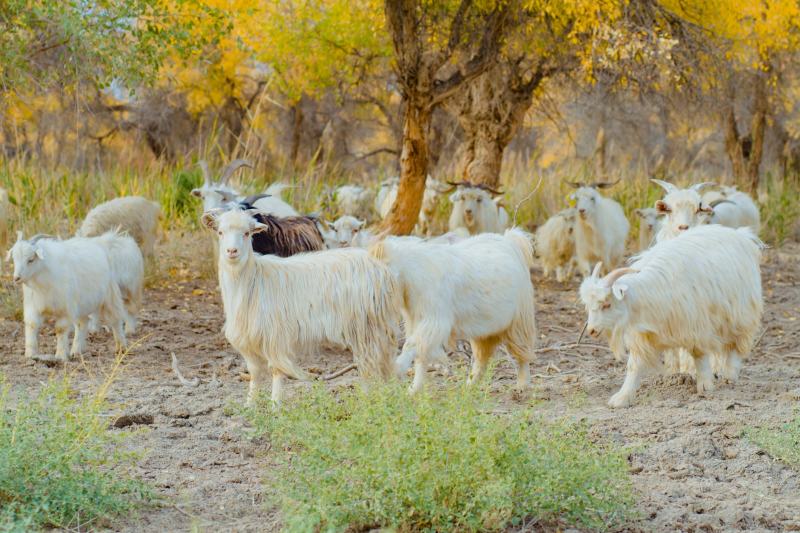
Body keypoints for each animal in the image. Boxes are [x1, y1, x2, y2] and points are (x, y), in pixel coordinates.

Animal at [7, 234, 126, 362]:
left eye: (30, 260)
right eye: (14, 259)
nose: (16, 278)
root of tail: (98, 243)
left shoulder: (65, 309)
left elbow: (60, 329)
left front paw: (61, 356)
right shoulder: (33, 307)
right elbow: (32, 325)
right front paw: (30, 354)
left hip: (109, 296)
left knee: (115, 320)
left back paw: (121, 348)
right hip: (81, 305)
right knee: (82, 323)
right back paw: (76, 351)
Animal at [200, 207, 400, 404]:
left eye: (247, 233)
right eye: (220, 232)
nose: (232, 251)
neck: (254, 278)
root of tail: (378, 265)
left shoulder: (275, 335)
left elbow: (276, 370)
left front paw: (275, 404)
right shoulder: (248, 338)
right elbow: (255, 373)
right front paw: (250, 405)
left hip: (367, 325)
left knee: (372, 362)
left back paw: (373, 397)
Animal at [370, 227, 536, 392]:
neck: (411, 272)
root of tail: (512, 240)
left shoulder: (434, 321)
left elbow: (412, 345)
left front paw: (397, 369)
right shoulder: (415, 320)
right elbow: (421, 354)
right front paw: (414, 389)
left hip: (519, 321)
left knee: (522, 354)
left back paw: (522, 385)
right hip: (485, 329)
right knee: (482, 356)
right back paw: (471, 384)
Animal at [580, 224, 764, 408]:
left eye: (606, 304)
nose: (592, 330)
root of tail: (742, 235)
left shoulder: (696, 327)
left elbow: (700, 355)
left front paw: (705, 386)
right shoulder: (643, 337)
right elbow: (634, 366)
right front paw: (622, 398)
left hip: (740, 314)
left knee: (735, 344)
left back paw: (730, 375)